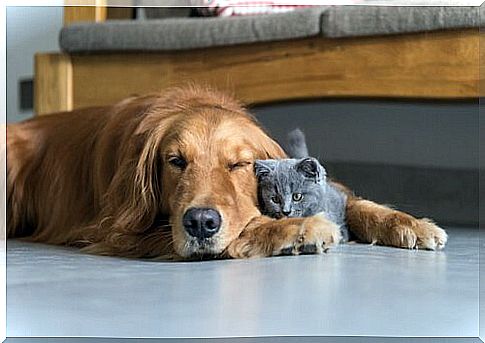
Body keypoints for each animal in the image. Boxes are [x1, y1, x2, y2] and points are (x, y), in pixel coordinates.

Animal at [6, 84, 446, 260]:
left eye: (238, 164)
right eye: (175, 161)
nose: (201, 222)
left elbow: (357, 203)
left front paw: (411, 225)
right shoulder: (119, 232)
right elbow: (248, 225)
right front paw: (297, 229)